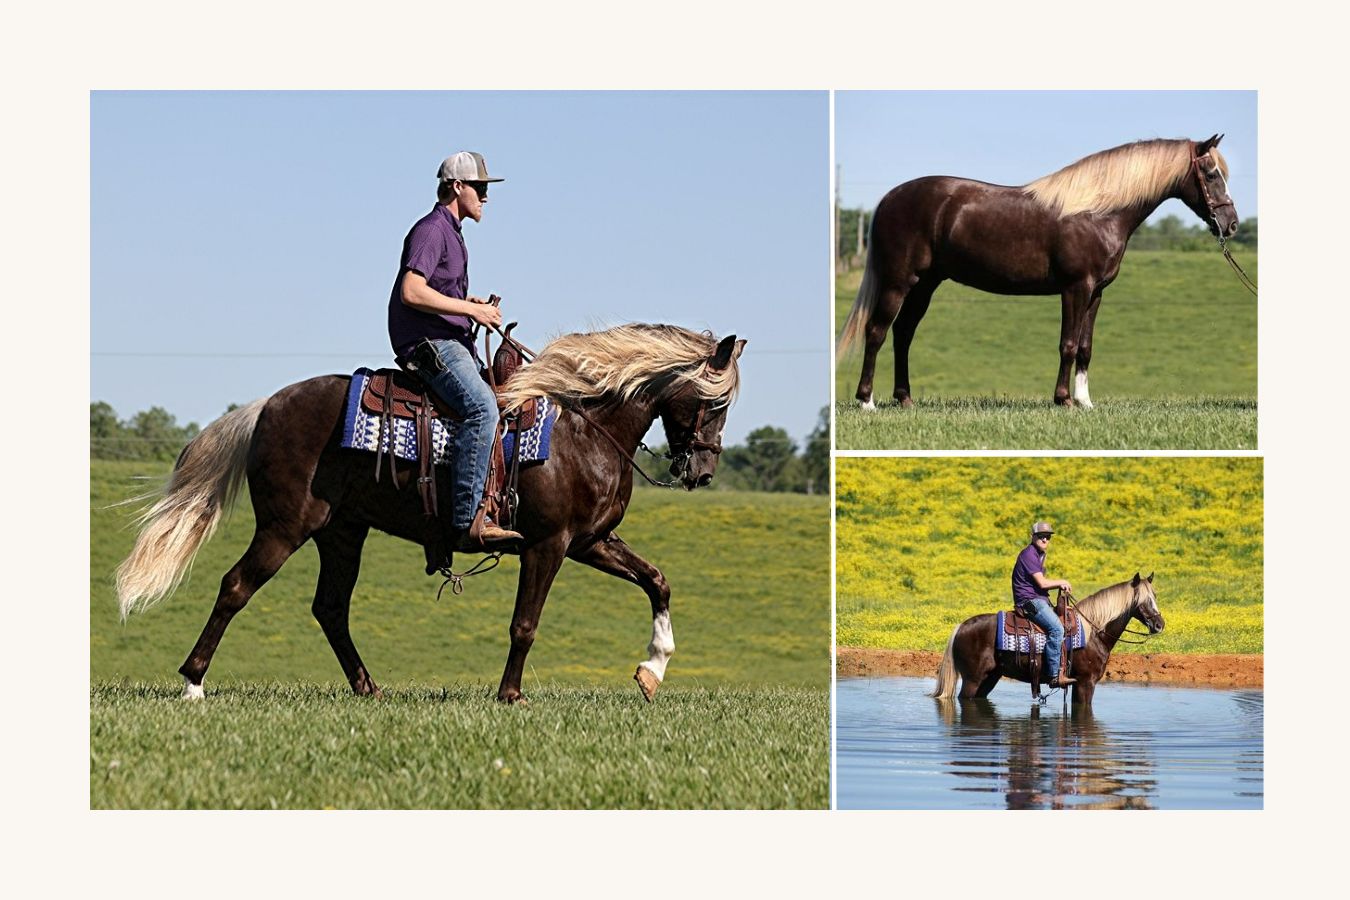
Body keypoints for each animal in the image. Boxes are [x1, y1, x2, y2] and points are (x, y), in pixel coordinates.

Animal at [114, 324, 746, 704]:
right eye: (714, 402)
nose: (703, 471)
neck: (582, 431)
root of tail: (267, 405)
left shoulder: (590, 541)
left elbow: (657, 581)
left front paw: (653, 669)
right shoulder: (549, 544)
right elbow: (525, 624)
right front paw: (510, 695)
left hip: (341, 534)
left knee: (330, 609)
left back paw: (368, 688)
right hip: (284, 528)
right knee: (236, 586)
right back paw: (194, 684)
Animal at [838, 136, 1240, 409]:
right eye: (1210, 173)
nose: (1231, 224)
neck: (1097, 211)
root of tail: (889, 199)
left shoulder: (1096, 292)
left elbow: (1086, 347)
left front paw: (1085, 402)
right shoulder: (1075, 288)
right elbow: (1068, 344)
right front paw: (1063, 400)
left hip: (926, 285)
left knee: (903, 333)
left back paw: (904, 398)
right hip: (898, 282)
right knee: (877, 332)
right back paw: (867, 401)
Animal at [930, 572, 1164, 707]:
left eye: (1155, 596)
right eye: (1143, 600)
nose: (1159, 625)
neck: (1094, 632)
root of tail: (961, 627)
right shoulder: (1085, 683)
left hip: (989, 678)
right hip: (973, 679)